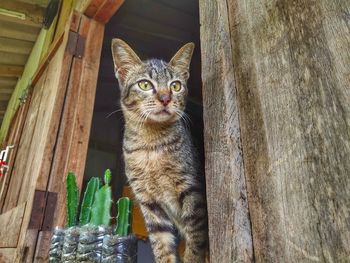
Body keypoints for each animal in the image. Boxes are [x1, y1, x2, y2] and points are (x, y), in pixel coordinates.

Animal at [110, 39, 206, 263]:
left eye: (175, 85)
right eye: (145, 84)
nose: (165, 98)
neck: (150, 146)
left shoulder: (192, 190)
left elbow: (195, 243)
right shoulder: (149, 203)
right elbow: (162, 247)